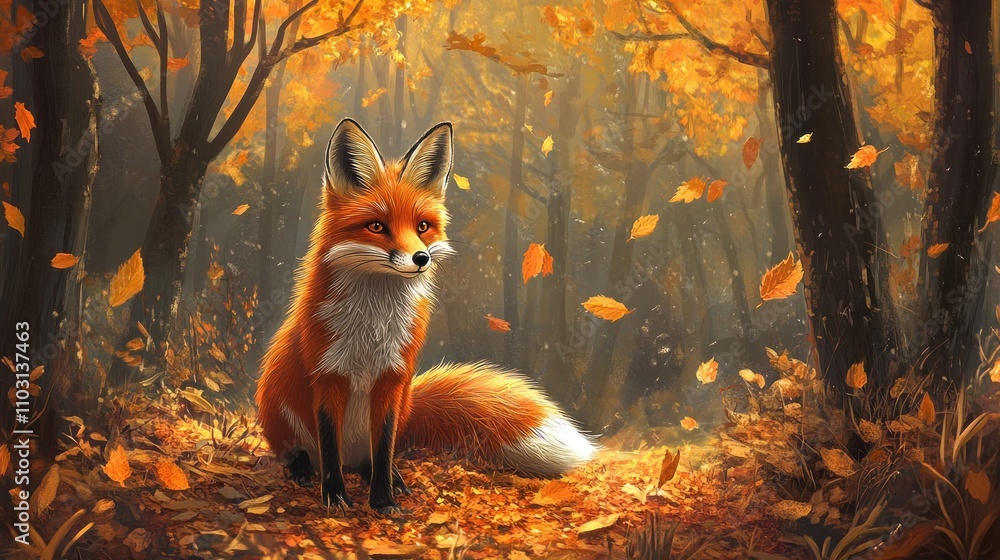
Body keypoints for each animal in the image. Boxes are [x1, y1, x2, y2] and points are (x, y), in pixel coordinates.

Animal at [255, 118, 596, 514]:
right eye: (376, 226)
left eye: (422, 226)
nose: (422, 259)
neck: (372, 326)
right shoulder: (328, 377)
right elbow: (329, 448)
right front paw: (335, 498)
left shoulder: (392, 379)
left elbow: (384, 450)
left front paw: (384, 500)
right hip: (278, 404)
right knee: (305, 453)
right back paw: (301, 469)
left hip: (402, 404)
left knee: (369, 460)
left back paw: (390, 480)